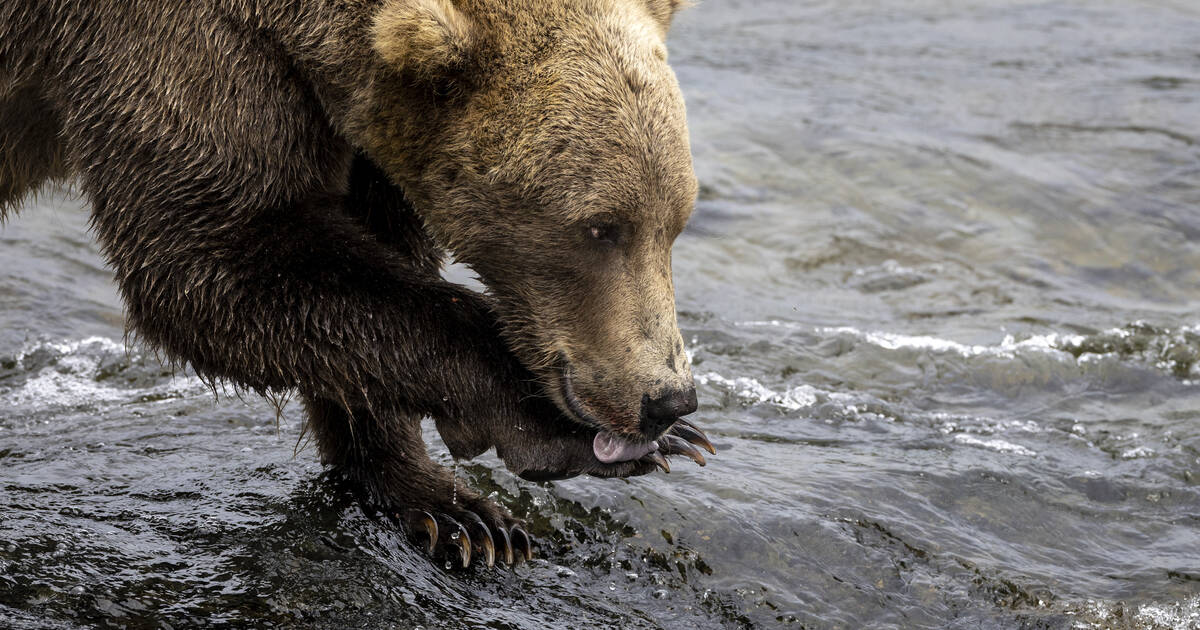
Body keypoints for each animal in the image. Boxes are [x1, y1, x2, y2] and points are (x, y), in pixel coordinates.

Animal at [0, 0, 710, 566]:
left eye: (675, 222)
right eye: (600, 228)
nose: (668, 401)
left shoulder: (366, 136)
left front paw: (450, 509)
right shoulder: (172, 53)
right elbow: (215, 261)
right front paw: (553, 430)